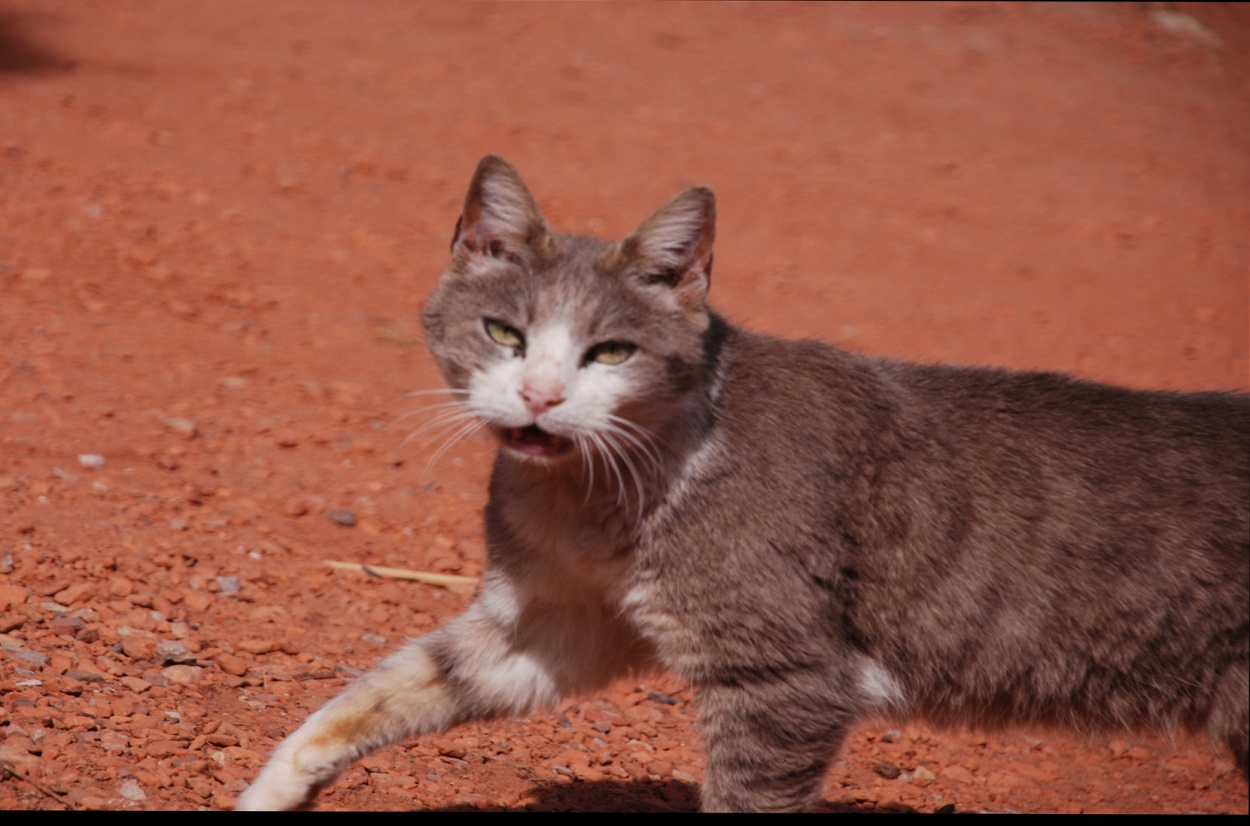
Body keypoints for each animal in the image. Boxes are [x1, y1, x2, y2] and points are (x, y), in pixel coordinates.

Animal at [236, 154, 1250, 809]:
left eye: (611, 352)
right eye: (504, 334)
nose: (541, 394)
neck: (594, 498)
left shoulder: (785, 677)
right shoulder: (551, 623)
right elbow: (393, 686)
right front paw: (276, 783)